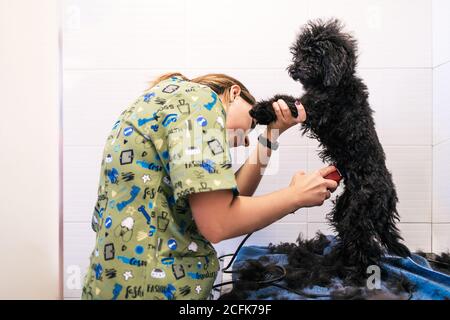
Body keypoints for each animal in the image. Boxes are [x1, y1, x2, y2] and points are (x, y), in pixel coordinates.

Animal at [250, 18, 412, 272]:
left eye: (313, 55)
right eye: (298, 53)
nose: (293, 69)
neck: (337, 83)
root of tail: (389, 195)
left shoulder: (312, 108)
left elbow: (286, 99)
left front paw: (261, 109)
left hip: (359, 213)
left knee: (364, 247)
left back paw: (350, 270)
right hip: (345, 207)